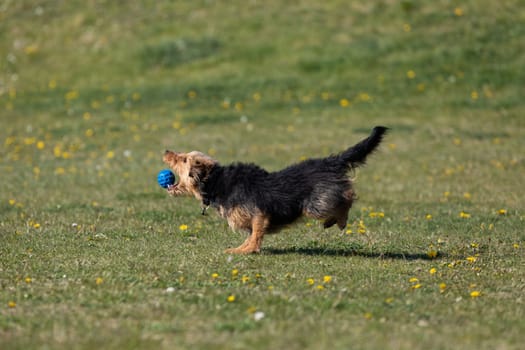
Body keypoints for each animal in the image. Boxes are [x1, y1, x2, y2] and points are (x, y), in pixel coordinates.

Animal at [162, 126, 386, 254]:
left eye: (183, 159)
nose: (165, 151)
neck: (217, 181)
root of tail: (331, 162)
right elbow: (251, 234)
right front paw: (242, 247)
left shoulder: (259, 213)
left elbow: (255, 234)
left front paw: (246, 250)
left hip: (315, 203)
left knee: (348, 196)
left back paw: (339, 220)